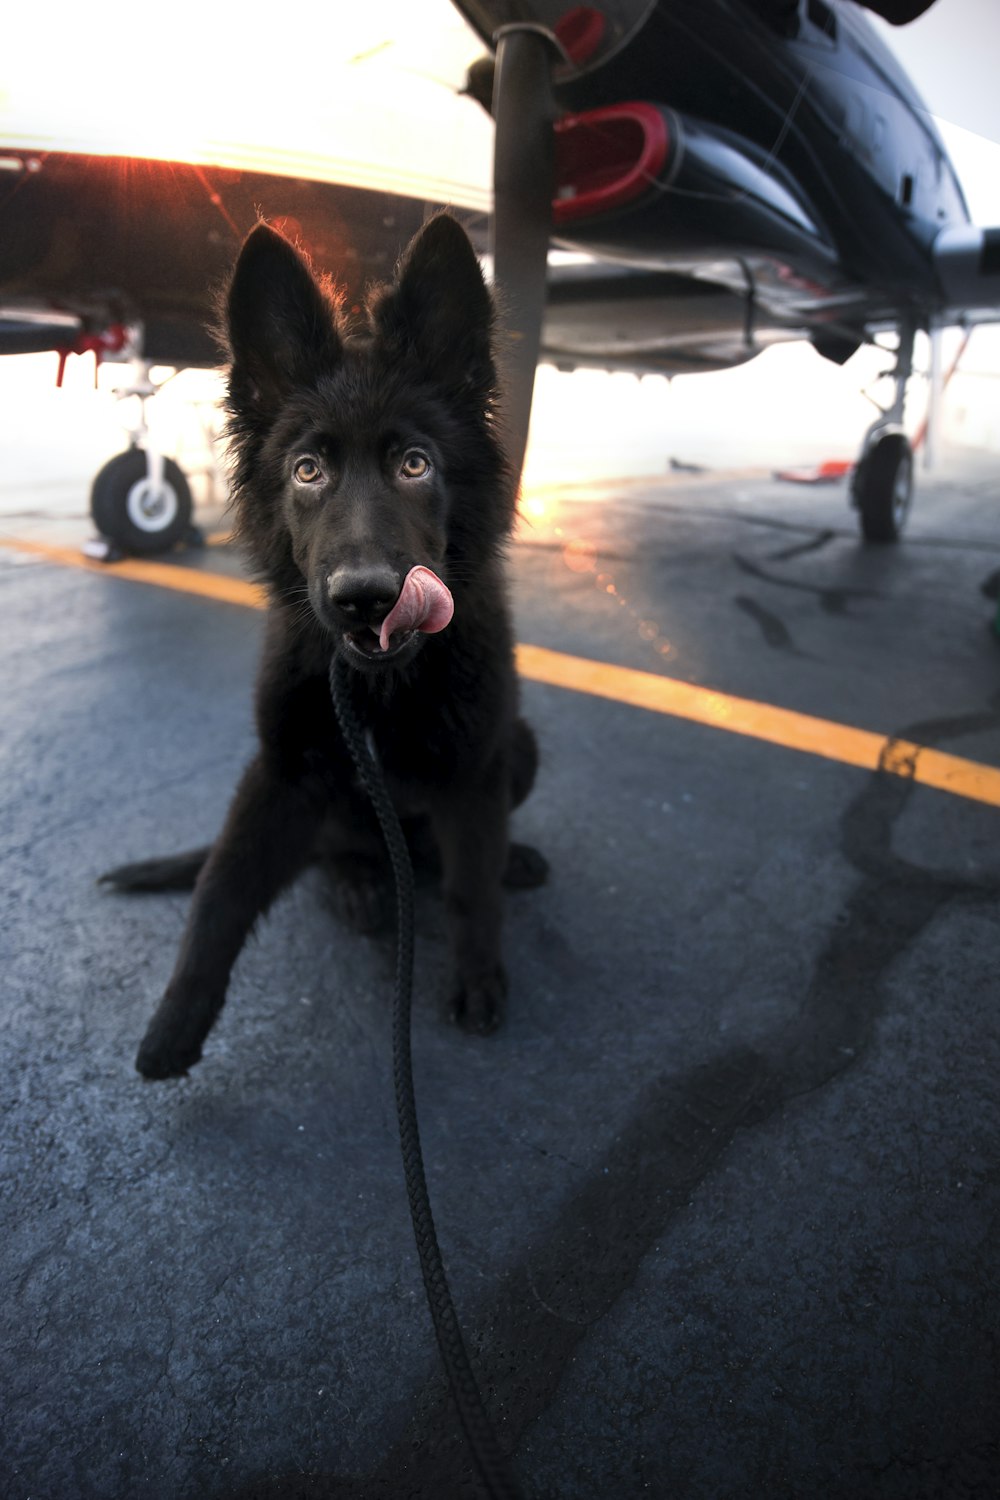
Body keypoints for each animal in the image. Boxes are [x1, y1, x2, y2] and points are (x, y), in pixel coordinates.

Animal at [105, 214, 548, 1080]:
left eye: (415, 464)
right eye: (307, 470)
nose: (367, 598)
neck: (378, 688)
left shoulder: (475, 768)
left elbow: (471, 888)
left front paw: (479, 976)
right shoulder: (282, 771)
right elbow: (220, 891)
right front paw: (174, 1025)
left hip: (520, 745)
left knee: (452, 861)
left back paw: (506, 862)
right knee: (336, 851)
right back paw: (356, 885)